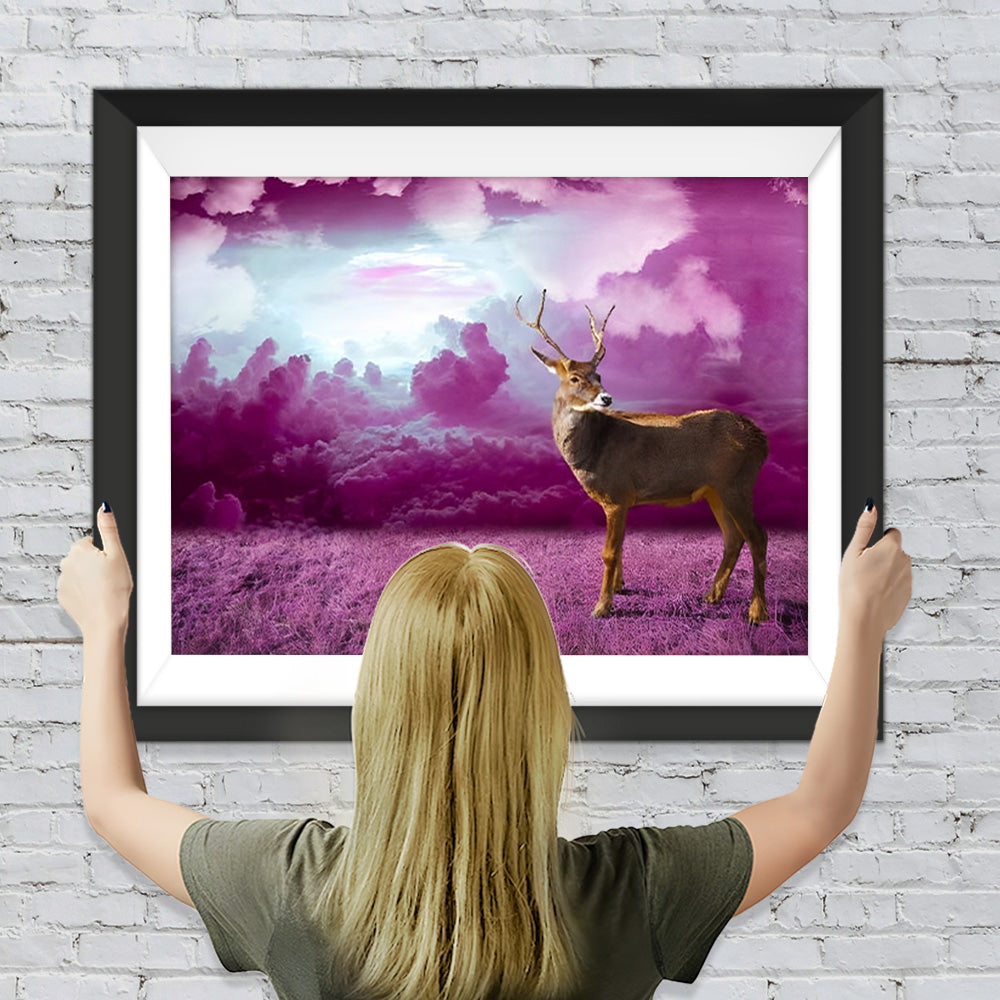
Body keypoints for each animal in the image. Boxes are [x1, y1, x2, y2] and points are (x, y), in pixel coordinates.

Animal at [515, 289, 770, 624]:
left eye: (598, 374)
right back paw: (713, 595)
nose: (606, 397)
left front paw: (601, 606)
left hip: (737, 483)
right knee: (733, 537)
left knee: (758, 537)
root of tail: (762, 440)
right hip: (716, 490)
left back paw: (757, 611)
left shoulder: (617, 493)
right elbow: (621, 547)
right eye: (574, 378)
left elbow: (609, 552)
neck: (593, 449)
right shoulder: (621, 500)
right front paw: (619, 587)